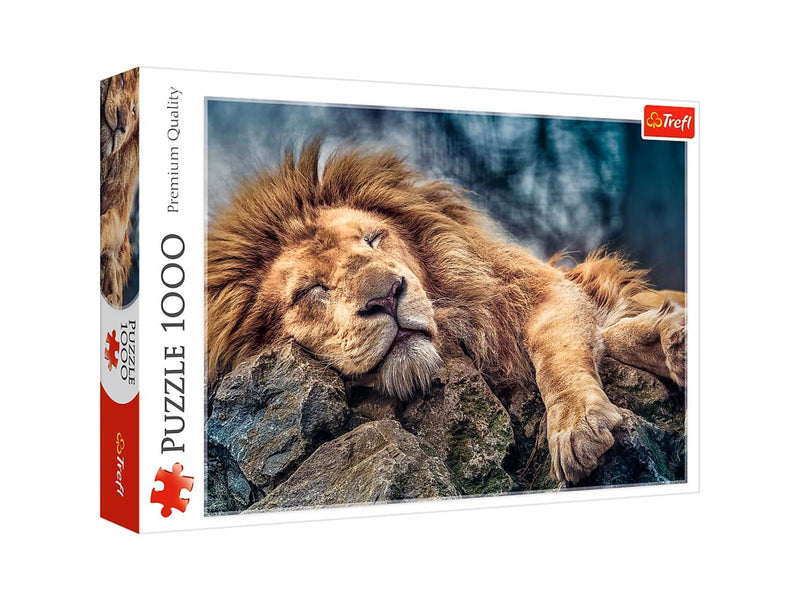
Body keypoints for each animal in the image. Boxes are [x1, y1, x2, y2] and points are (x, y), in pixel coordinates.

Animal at [206, 141, 686, 484]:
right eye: (311, 290)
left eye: (374, 239)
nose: (386, 296)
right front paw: (666, 340)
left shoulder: (541, 289)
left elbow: (558, 352)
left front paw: (578, 424)